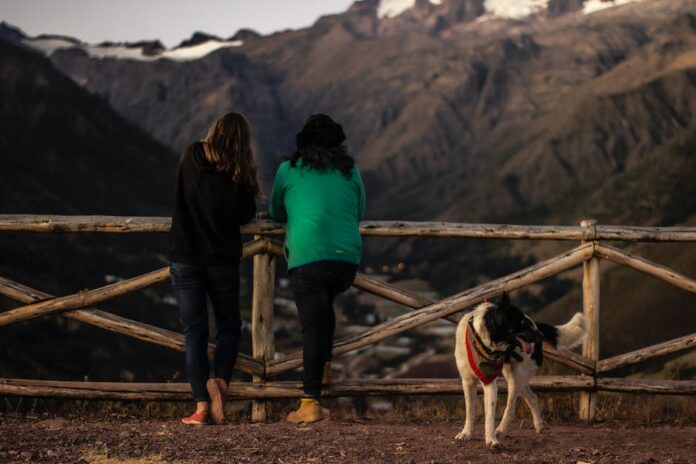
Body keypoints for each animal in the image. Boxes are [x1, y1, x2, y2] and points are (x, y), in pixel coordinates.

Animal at [454, 292, 584, 448]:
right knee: (532, 397)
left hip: (516, 376)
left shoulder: (489, 382)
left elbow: (490, 415)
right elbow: (469, 411)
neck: (482, 342)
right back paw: (539, 425)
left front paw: (491, 440)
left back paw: (501, 430)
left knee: (510, 409)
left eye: (525, 321)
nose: (541, 336)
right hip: (516, 377)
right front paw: (466, 433)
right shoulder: (467, 382)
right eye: (521, 322)